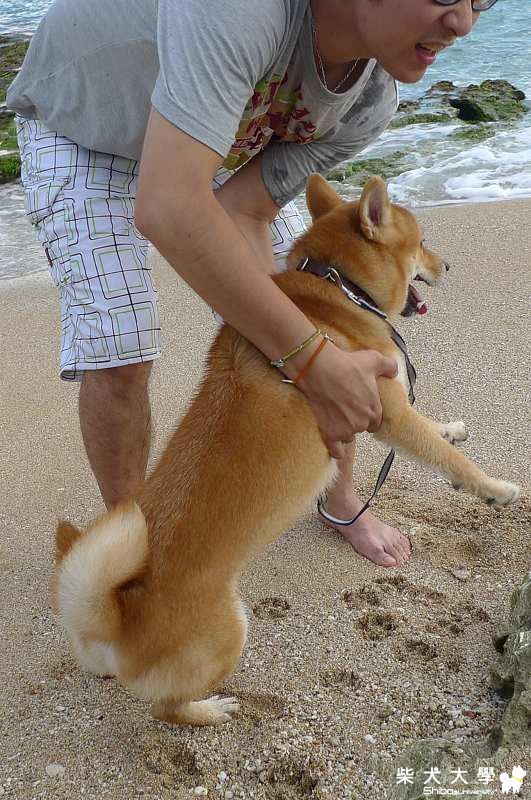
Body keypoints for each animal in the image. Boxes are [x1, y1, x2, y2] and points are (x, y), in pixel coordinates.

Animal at [54, 175, 520, 726]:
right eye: (423, 242)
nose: (447, 266)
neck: (338, 289)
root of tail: (120, 612)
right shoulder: (384, 411)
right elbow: (448, 457)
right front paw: (494, 488)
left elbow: (434, 434)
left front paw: (452, 428)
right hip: (228, 633)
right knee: (166, 709)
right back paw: (211, 710)